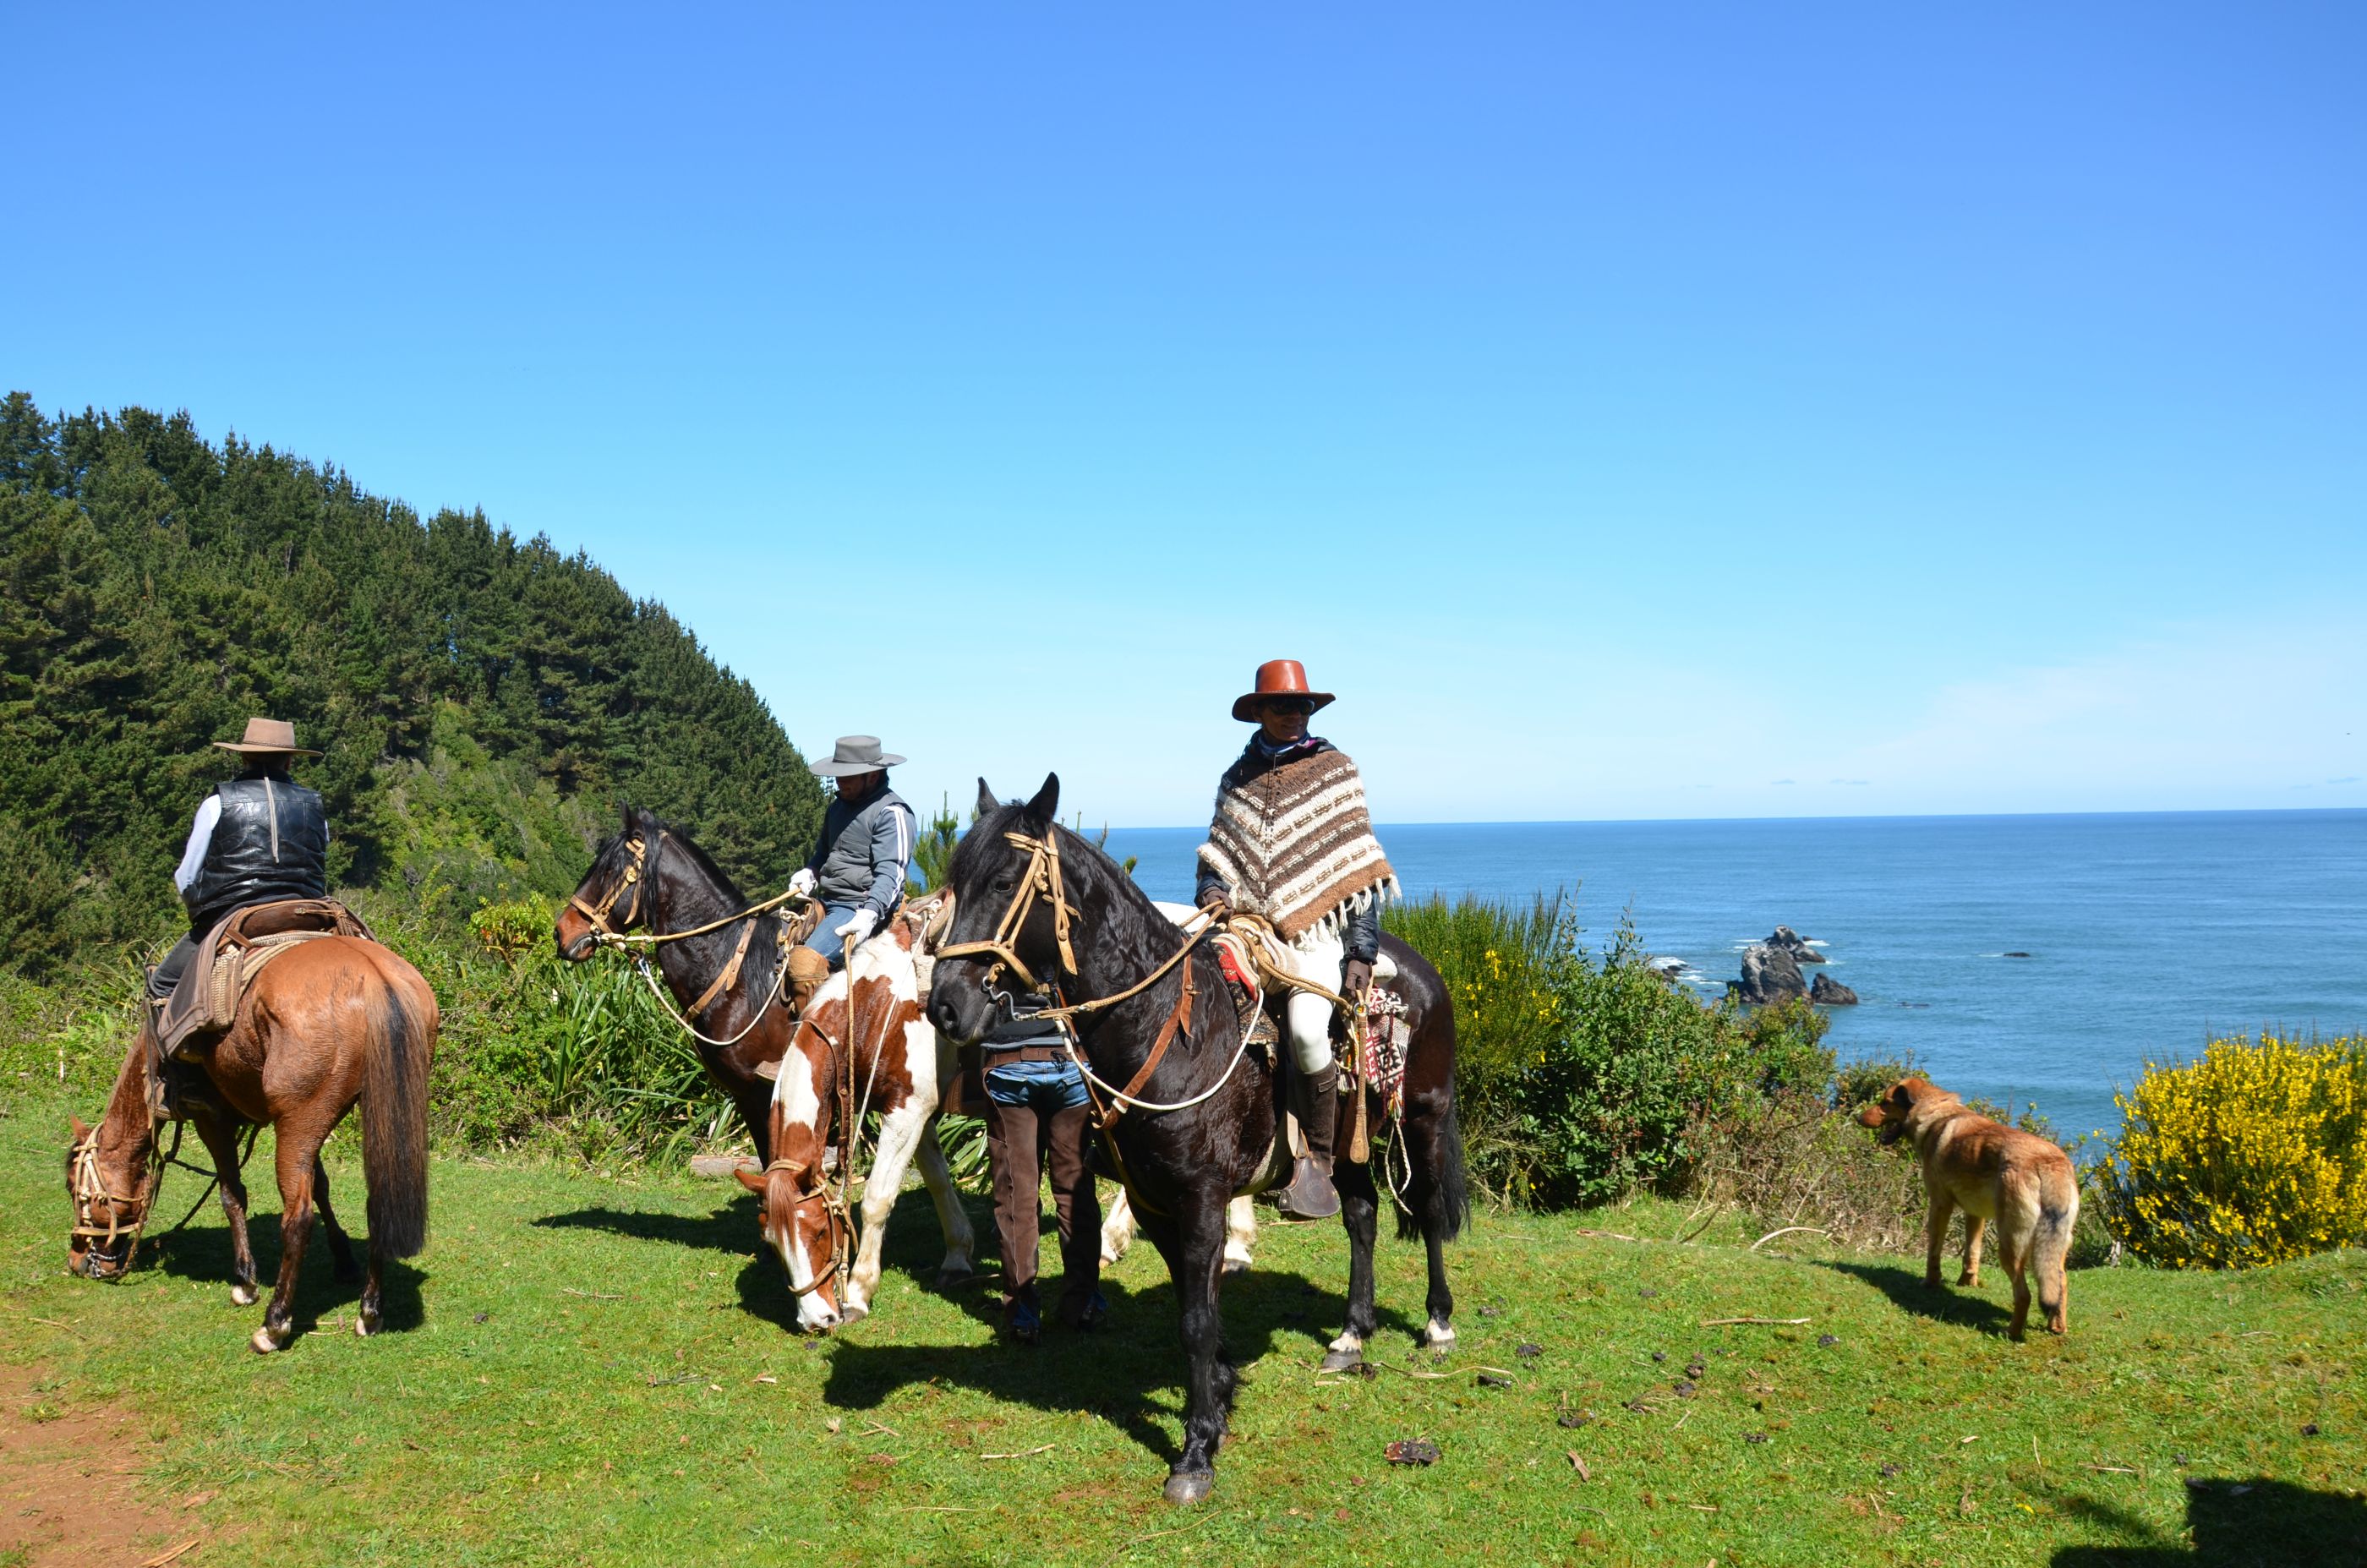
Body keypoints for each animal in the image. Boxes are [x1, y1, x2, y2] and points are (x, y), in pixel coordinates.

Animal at [64, 937, 433, 1354]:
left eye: (74, 1189)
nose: (78, 1260)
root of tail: (373, 978)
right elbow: (321, 1186)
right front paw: (343, 1260)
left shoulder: (211, 1119)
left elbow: (231, 1194)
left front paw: (244, 1282)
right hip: (349, 1114)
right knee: (376, 1205)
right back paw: (370, 1310)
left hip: (299, 1119)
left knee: (298, 1218)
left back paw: (275, 1324)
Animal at [927, 781, 1468, 1506]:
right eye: (956, 885)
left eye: (1006, 881)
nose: (945, 1004)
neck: (1163, 1023)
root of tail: (1420, 970)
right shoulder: (1155, 1202)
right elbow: (1193, 1304)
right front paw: (1219, 1388)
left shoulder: (1203, 1199)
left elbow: (1196, 1320)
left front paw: (1197, 1449)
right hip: (1347, 1142)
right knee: (1361, 1213)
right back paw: (1352, 1332)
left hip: (1426, 1116)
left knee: (1431, 1212)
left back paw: (1437, 1324)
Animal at [1856, 1089, 2083, 1345]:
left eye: (1885, 1103)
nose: (1858, 1118)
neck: (1937, 1114)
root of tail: (2046, 1162)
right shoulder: (1975, 1213)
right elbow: (1971, 1253)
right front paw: (1967, 1283)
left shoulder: (1940, 1205)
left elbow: (1933, 1252)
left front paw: (1930, 1283)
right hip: (2055, 1247)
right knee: (2061, 1283)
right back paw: (2057, 1326)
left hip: (2010, 1246)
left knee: (2024, 1295)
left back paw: (2012, 1333)